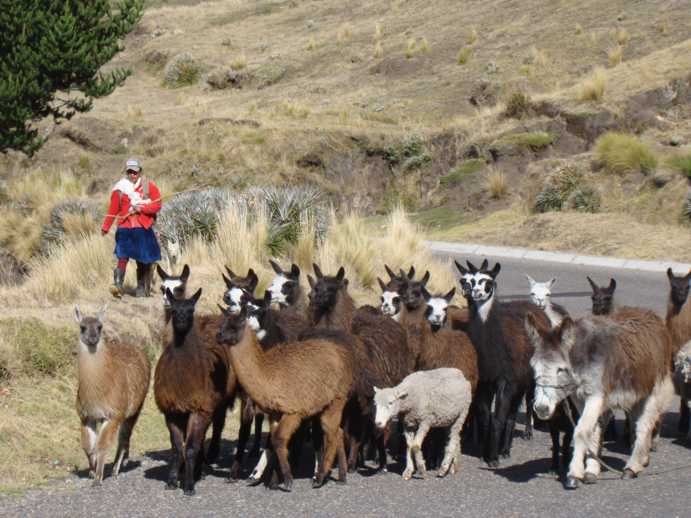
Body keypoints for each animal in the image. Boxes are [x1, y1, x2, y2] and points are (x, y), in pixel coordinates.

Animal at [74, 305, 150, 486]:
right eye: (82, 327)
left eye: (100, 327)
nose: (93, 338)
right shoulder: (86, 416)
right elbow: (88, 446)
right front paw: (92, 470)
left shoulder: (113, 415)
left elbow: (102, 445)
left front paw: (98, 478)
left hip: (135, 407)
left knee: (124, 436)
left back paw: (116, 468)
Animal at [216, 304, 354, 491]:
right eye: (222, 324)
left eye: (235, 326)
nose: (219, 335)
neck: (268, 374)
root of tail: (339, 353)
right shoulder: (275, 413)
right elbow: (274, 442)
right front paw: (273, 481)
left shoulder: (293, 411)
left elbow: (280, 439)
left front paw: (287, 480)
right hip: (323, 404)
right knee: (338, 432)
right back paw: (342, 476)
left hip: (336, 401)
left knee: (331, 435)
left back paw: (319, 478)